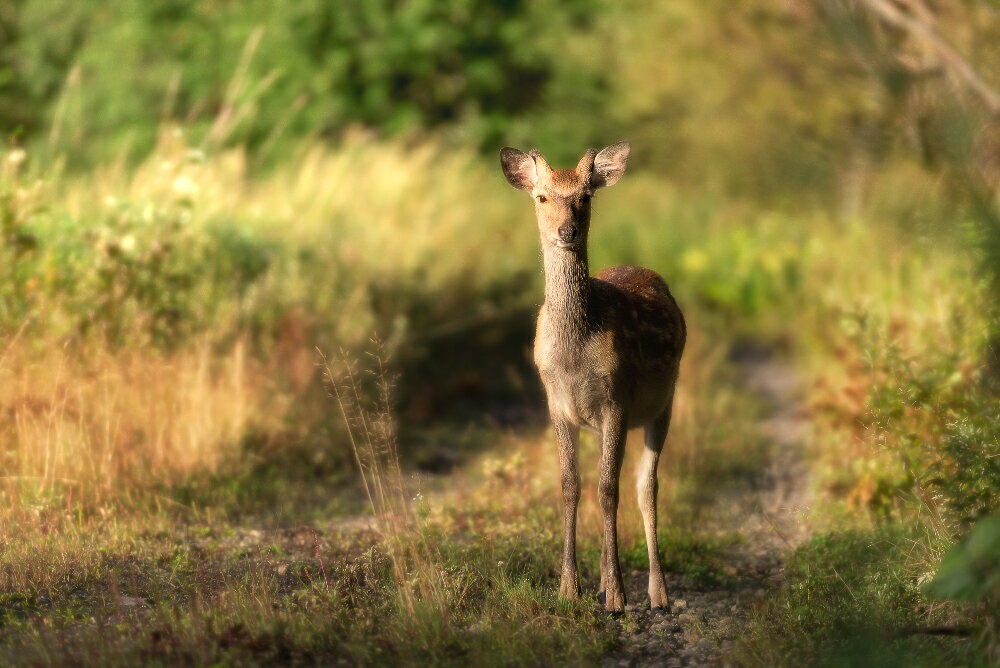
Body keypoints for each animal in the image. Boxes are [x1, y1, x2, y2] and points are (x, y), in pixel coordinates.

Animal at [499, 142, 686, 613]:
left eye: (585, 197)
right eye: (541, 197)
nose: (566, 231)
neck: (574, 355)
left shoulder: (616, 399)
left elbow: (607, 489)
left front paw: (617, 597)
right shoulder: (557, 403)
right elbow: (570, 486)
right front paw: (570, 589)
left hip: (664, 401)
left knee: (645, 486)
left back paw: (657, 593)